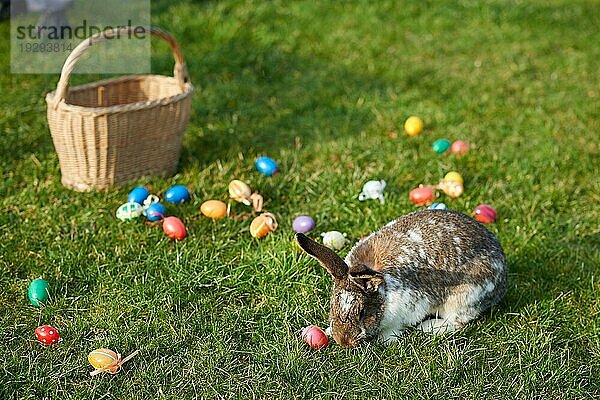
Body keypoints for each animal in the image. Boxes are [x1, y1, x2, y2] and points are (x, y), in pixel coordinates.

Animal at [296, 209, 506, 346]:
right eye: (332, 306)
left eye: (362, 312)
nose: (344, 341)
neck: (385, 293)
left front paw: (386, 340)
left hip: (464, 297)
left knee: (458, 321)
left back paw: (429, 327)